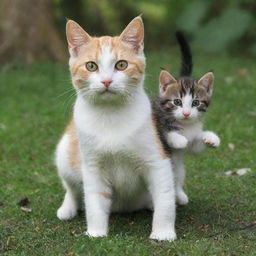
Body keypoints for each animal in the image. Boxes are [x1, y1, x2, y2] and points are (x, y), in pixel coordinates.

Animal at [55, 17, 177, 241]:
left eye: (121, 65)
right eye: (91, 66)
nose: (106, 80)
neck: (110, 114)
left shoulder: (157, 161)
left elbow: (165, 197)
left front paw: (163, 232)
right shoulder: (92, 166)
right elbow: (94, 200)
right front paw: (95, 233)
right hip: (65, 153)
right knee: (71, 188)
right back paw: (67, 208)